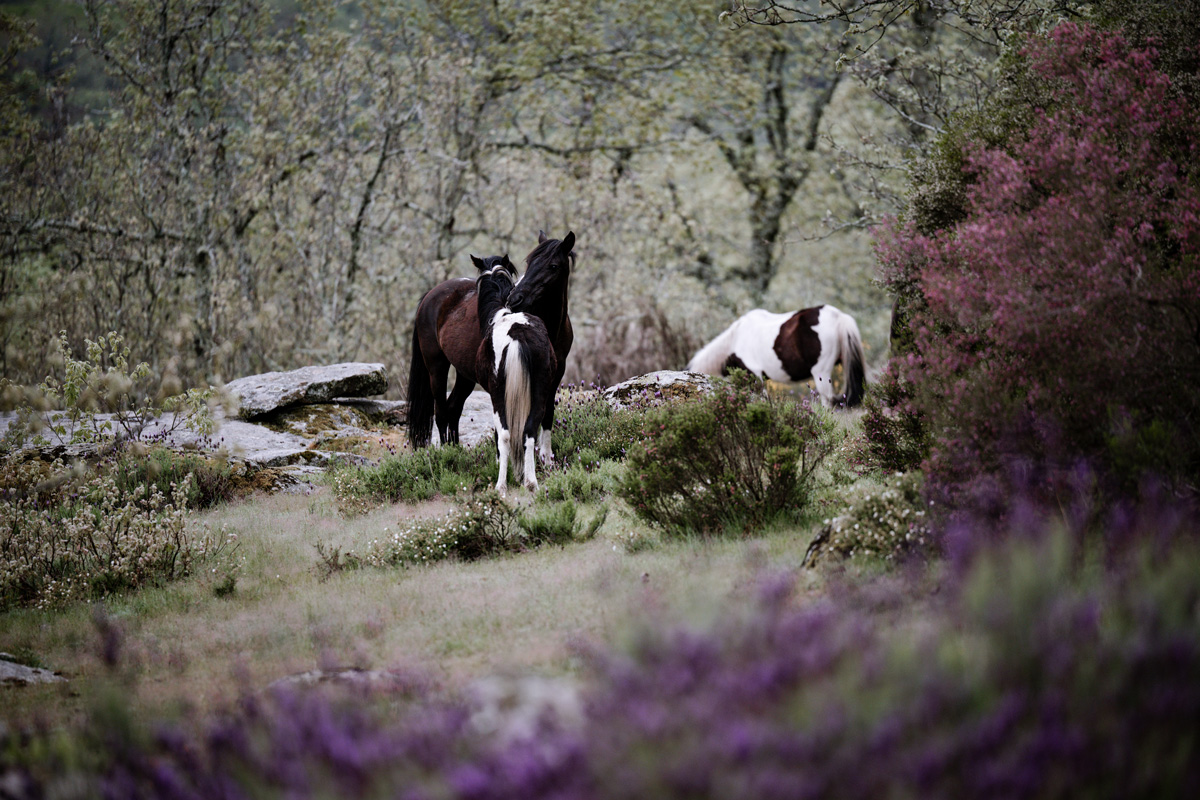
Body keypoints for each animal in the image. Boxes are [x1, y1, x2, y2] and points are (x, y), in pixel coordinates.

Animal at [406, 231, 576, 452]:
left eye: (553, 266)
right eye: (529, 263)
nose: (515, 299)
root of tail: (431, 294)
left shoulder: (554, 376)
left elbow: (546, 417)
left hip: (465, 374)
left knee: (453, 408)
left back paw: (456, 450)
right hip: (436, 367)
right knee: (441, 413)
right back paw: (446, 453)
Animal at [475, 261, 558, 492]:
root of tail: (517, 333)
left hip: (497, 394)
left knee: (505, 434)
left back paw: (501, 485)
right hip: (540, 390)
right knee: (528, 432)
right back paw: (530, 481)